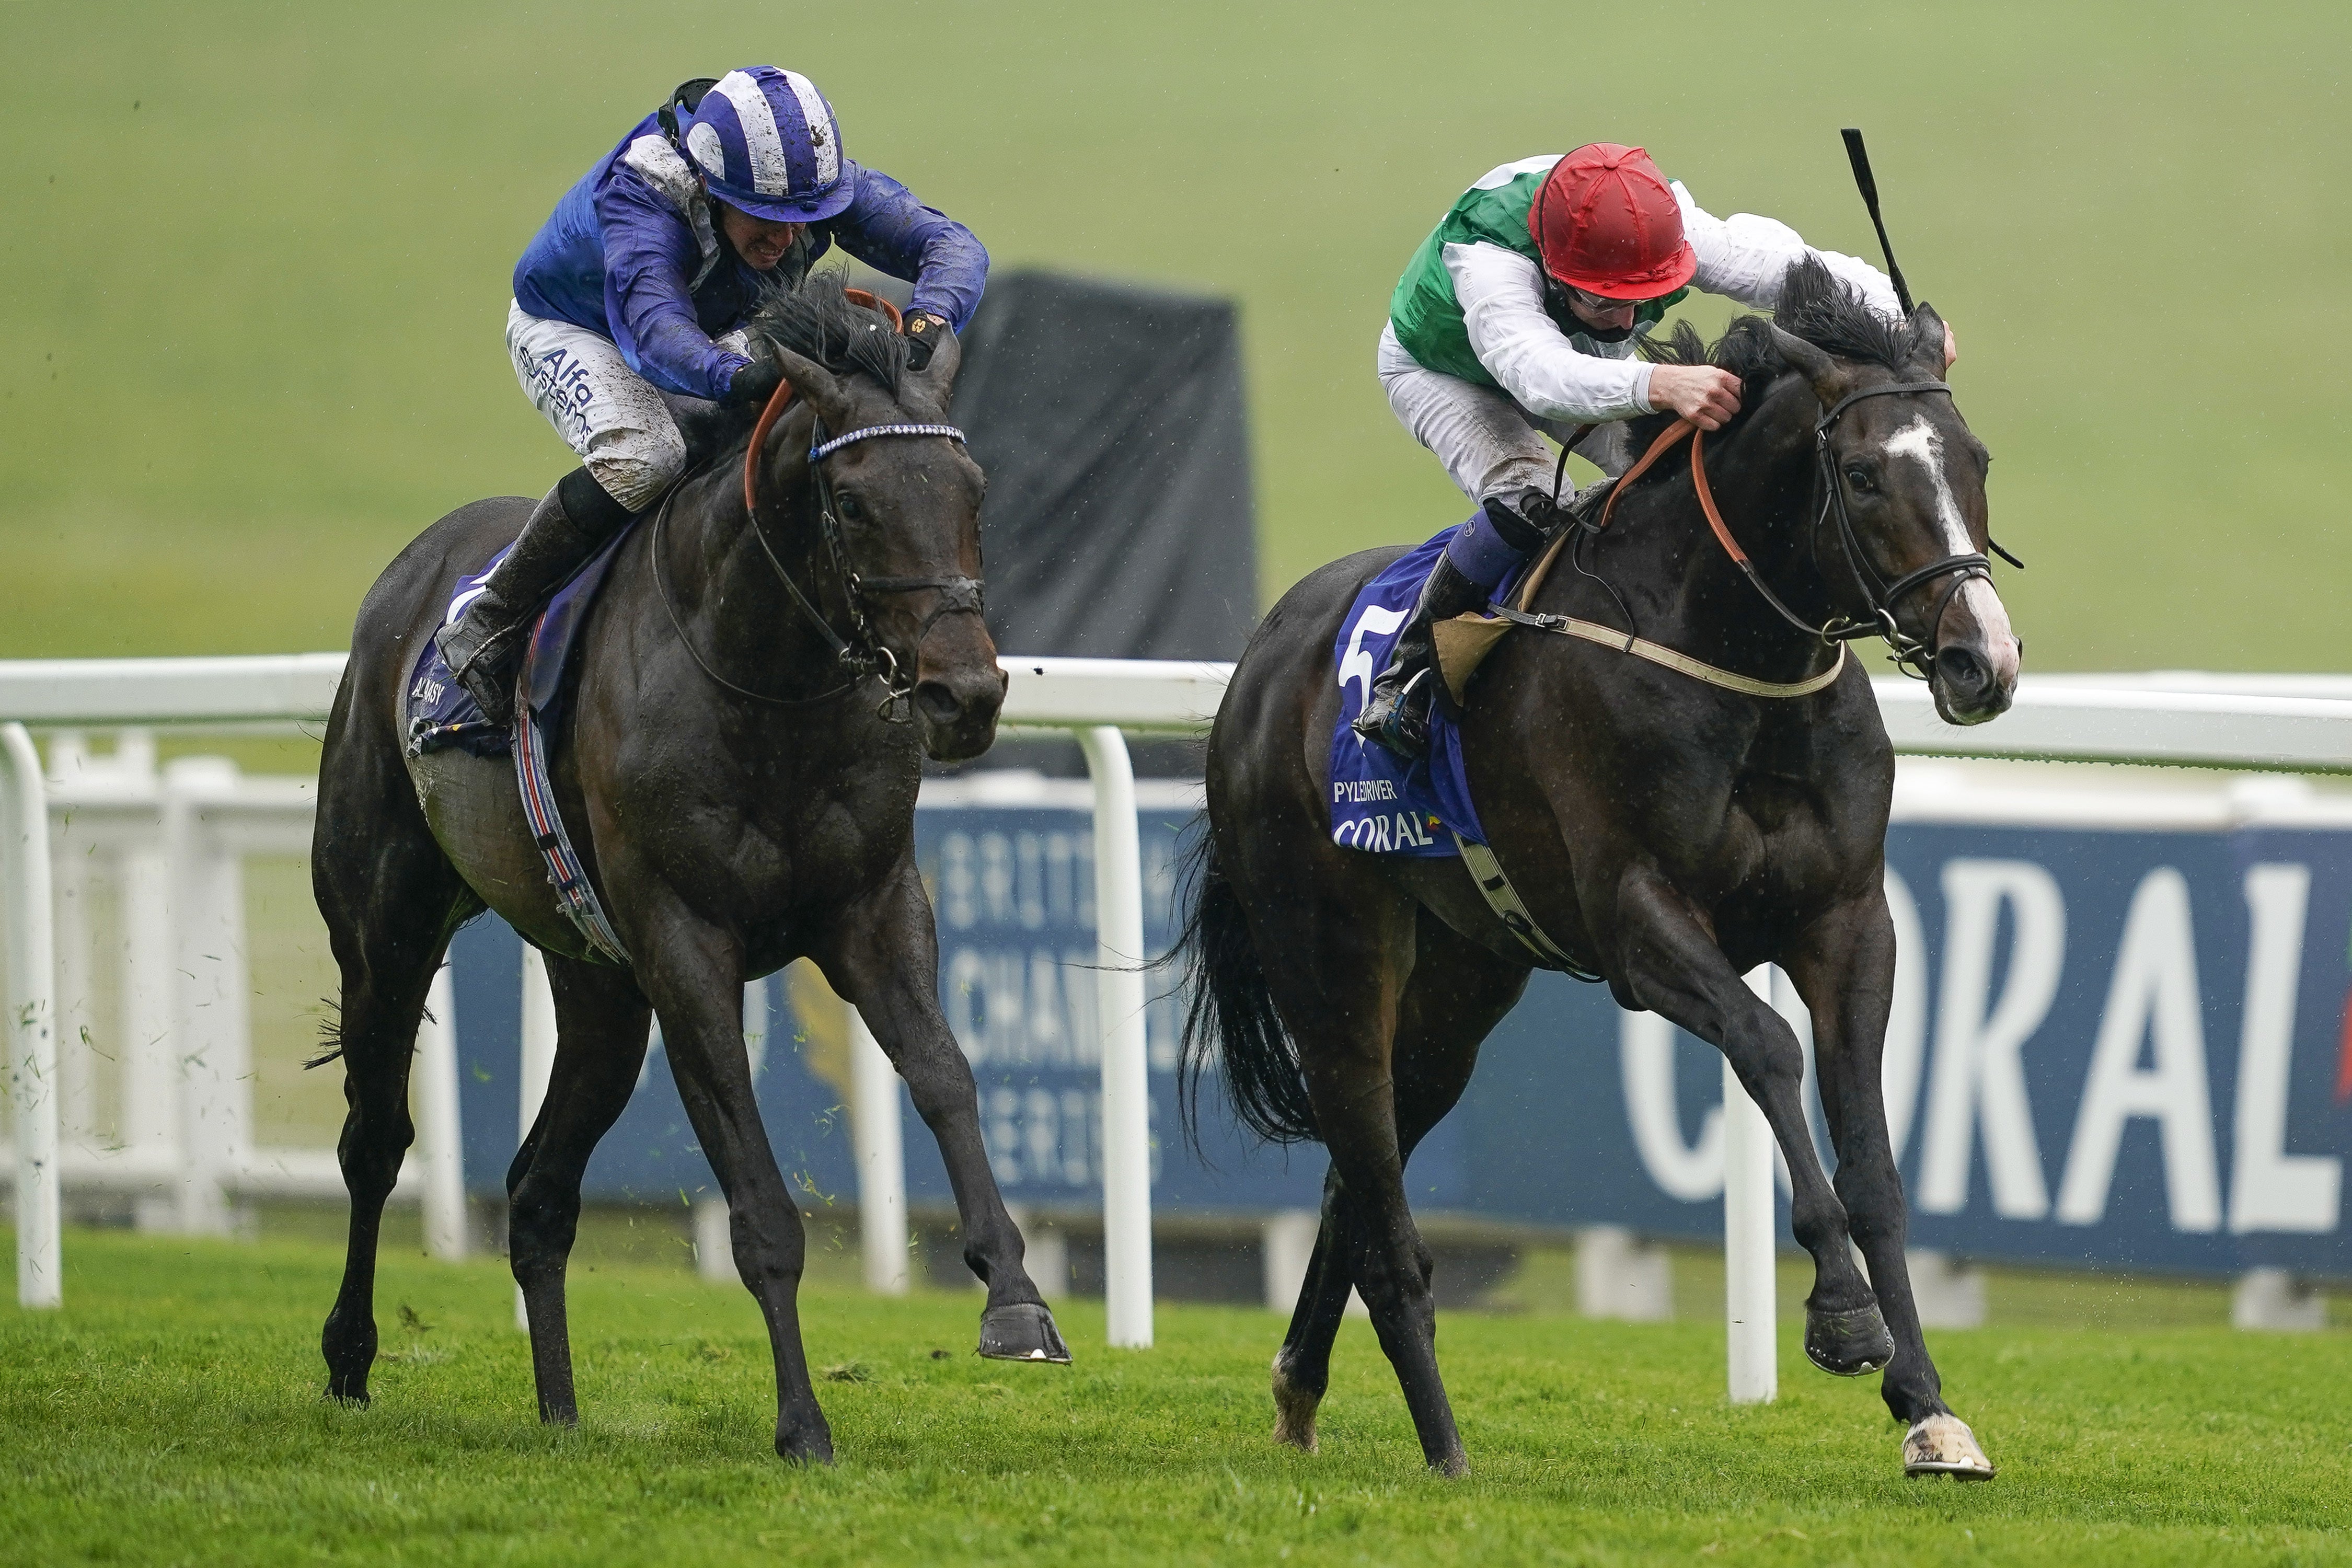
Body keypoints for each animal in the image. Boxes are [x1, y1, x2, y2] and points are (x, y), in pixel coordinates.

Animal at [313, 276, 1068, 1467]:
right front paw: (803, 1423)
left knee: (537, 1192)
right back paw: (349, 1357)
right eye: (854, 503)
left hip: (598, 990)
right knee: (376, 1139)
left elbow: (946, 1074)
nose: (967, 695)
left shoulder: (873, 907)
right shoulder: (685, 945)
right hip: (384, 925)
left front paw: (1017, 1301)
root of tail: (410, 576)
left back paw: (562, 1411)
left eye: (973, 491)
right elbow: (758, 1207)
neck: (770, 681)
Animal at [1195, 261, 2023, 1485]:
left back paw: (1302, 1386)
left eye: (1976, 461)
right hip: (1326, 956)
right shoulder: (1639, 921)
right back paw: (1444, 1447)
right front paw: (1842, 1317)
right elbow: (1767, 1050)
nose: (1983, 661)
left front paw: (1929, 1409)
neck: (1733, 660)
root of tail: (1258, 662)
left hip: (1459, 988)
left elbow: (1872, 1156)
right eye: (1866, 474)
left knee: (1361, 1165)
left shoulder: (1848, 921)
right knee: (1379, 1200)